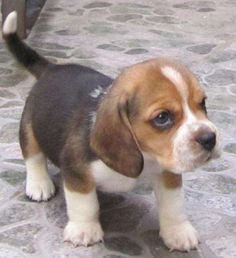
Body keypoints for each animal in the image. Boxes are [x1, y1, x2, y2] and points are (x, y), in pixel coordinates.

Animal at [2, 12, 219, 252]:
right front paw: (84, 229)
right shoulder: (76, 170)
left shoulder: (169, 172)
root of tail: (52, 68)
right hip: (28, 127)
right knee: (33, 157)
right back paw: (39, 184)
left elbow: (174, 204)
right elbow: (84, 203)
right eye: (162, 117)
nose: (210, 139)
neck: (146, 155)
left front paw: (178, 232)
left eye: (202, 103)